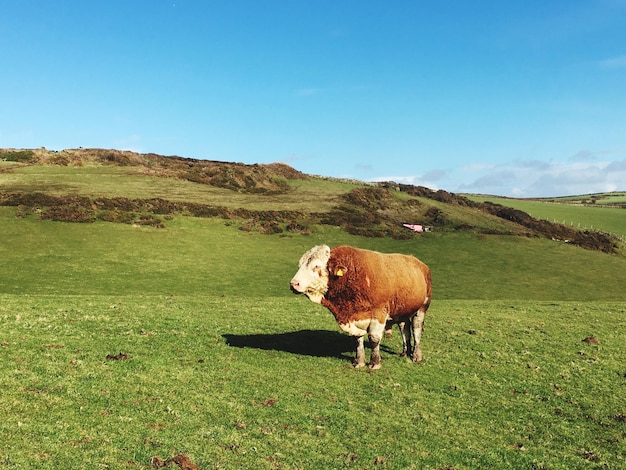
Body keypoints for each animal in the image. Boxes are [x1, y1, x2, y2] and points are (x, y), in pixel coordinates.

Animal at [288, 244, 428, 370]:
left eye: (316, 266)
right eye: (300, 265)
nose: (293, 284)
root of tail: (419, 263)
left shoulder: (379, 313)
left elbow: (374, 338)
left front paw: (375, 363)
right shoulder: (355, 317)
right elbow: (358, 339)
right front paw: (359, 361)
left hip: (422, 307)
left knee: (416, 329)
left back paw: (416, 355)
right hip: (402, 310)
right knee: (405, 329)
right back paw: (405, 352)